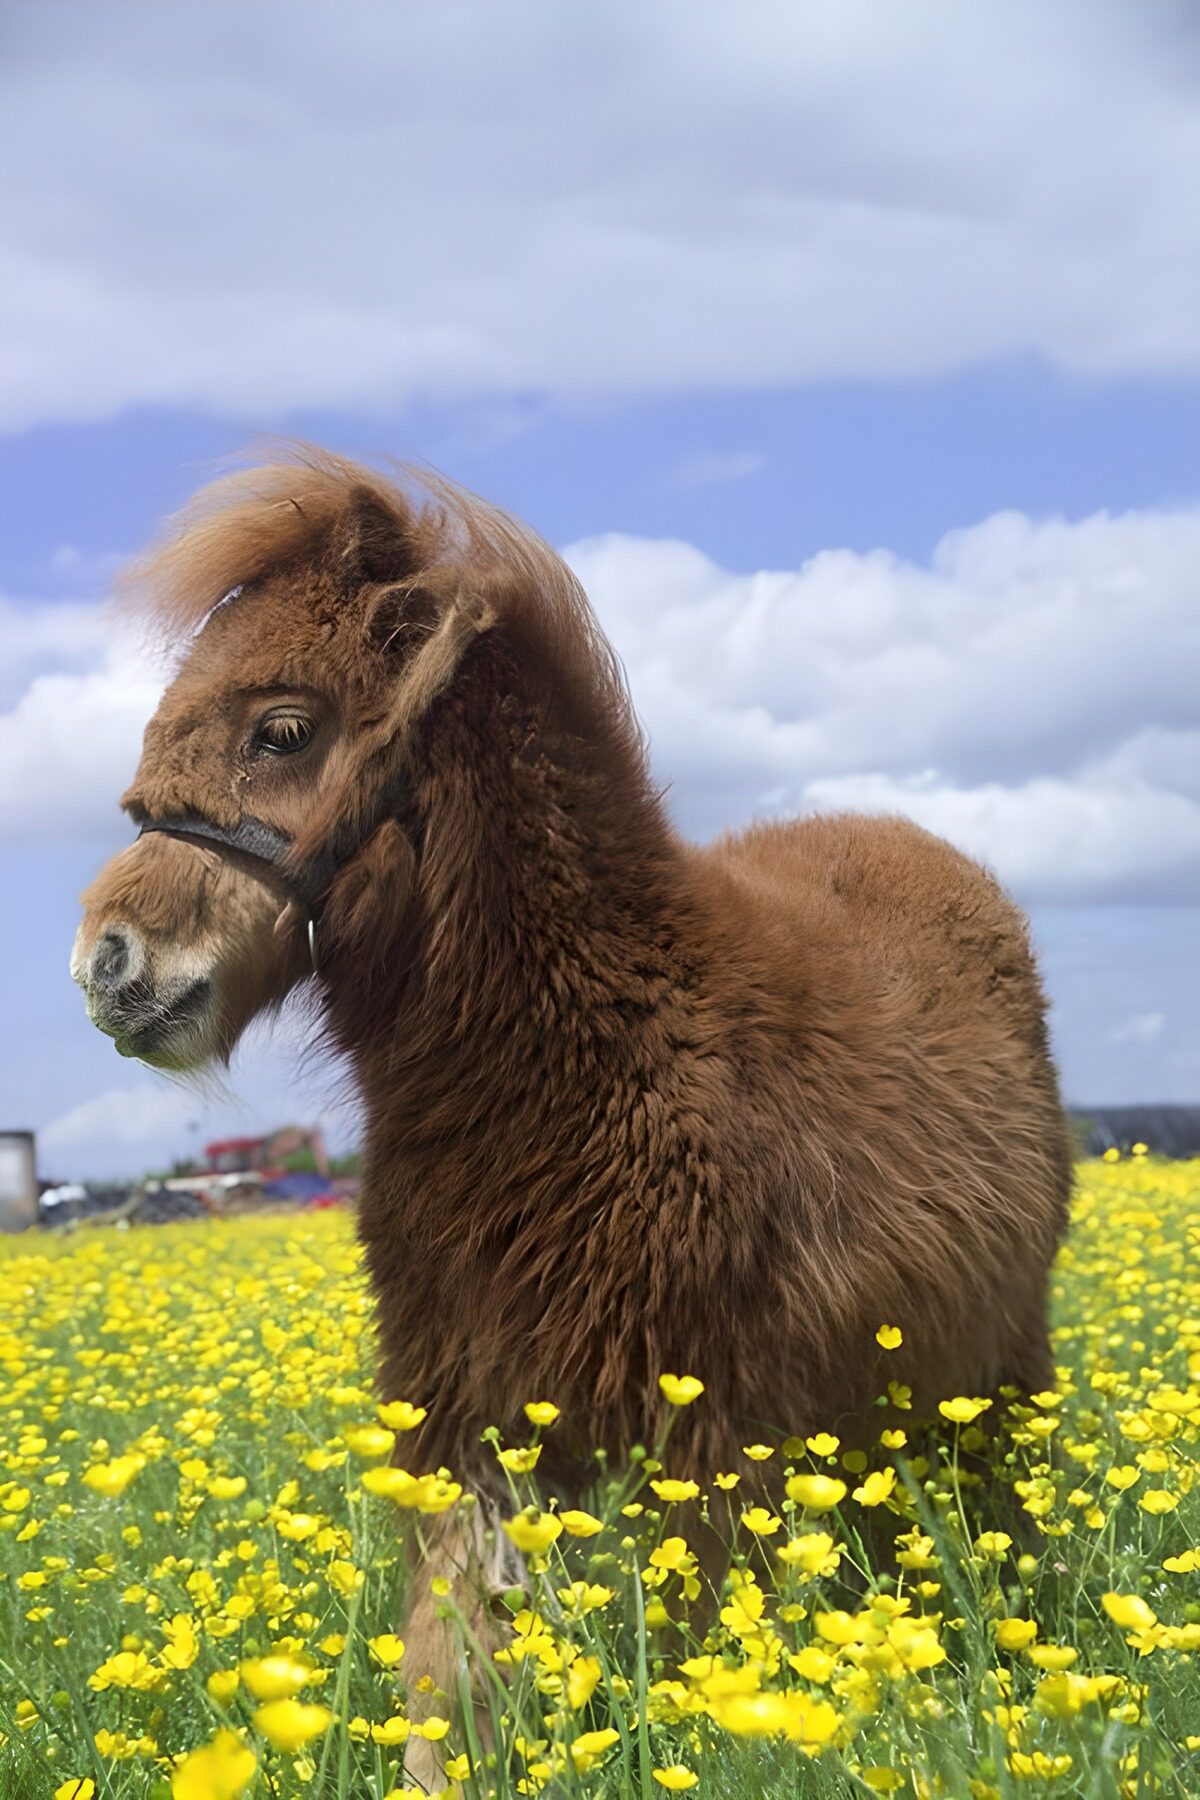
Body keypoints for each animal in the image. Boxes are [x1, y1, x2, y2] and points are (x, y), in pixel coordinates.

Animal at [73, 444, 1072, 1759]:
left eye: (282, 729)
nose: (109, 963)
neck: (589, 1067)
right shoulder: (466, 1431)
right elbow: (449, 1679)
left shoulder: (709, 1449)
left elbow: (712, 1669)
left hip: (991, 1379)